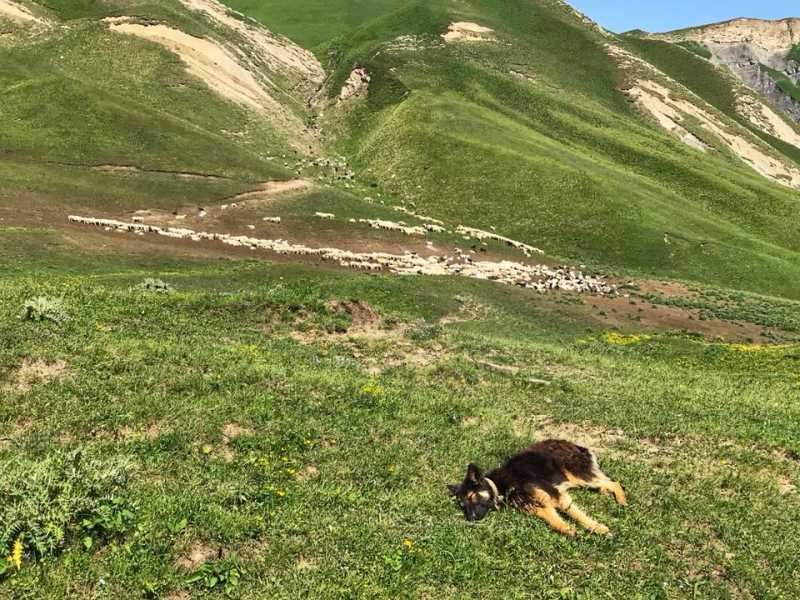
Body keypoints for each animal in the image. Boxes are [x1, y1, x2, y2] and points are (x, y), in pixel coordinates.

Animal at [450, 438, 624, 536]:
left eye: (472, 496)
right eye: (462, 505)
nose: (471, 519)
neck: (501, 487)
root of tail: (570, 443)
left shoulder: (556, 496)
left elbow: (578, 516)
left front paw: (598, 529)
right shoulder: (539, 507)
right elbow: (554, 522)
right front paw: (568, 531)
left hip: (579, 476)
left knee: (613, 481)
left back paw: (621, 499)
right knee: (605, 480)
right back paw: (605, 492)